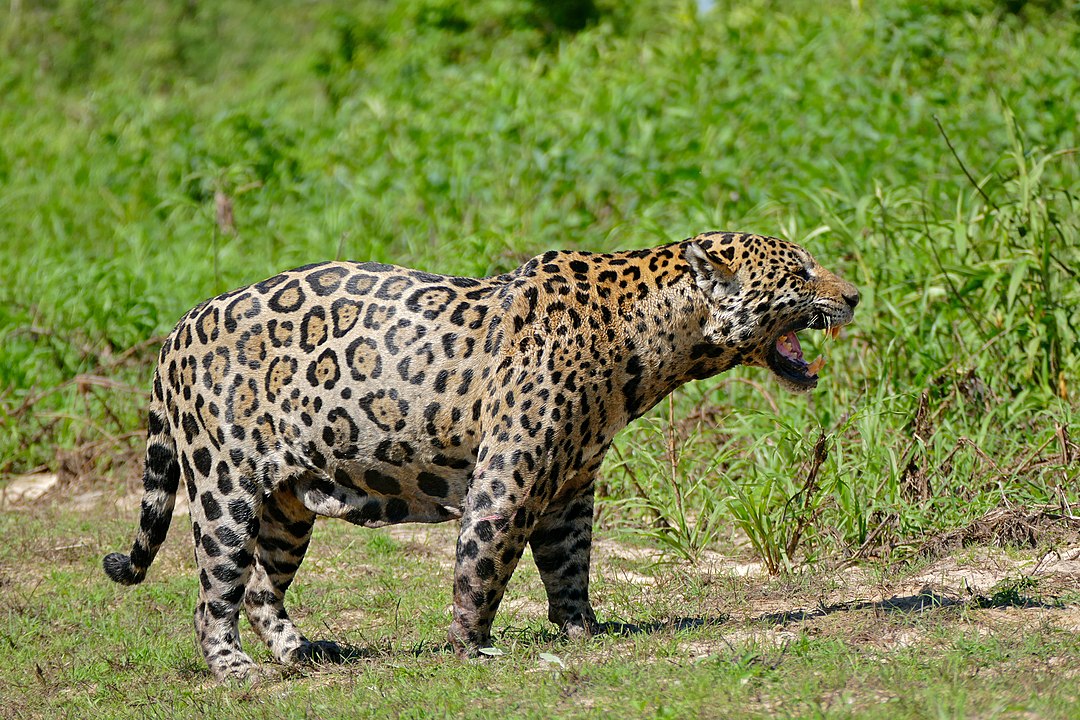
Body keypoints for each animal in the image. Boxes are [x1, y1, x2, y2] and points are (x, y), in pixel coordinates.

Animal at [103, 231, 858, 680]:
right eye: (800, 271)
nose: (854, 295)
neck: (653, 342)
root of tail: (176, 331)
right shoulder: (509, 477)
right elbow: (484, 563)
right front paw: (471, 646)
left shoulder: (572, 484)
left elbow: (569, 564)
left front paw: (583, 630)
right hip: (223, 487)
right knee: (214, 596)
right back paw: (236, 671)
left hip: (290, 502)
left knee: (263, 585)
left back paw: (301, 651)